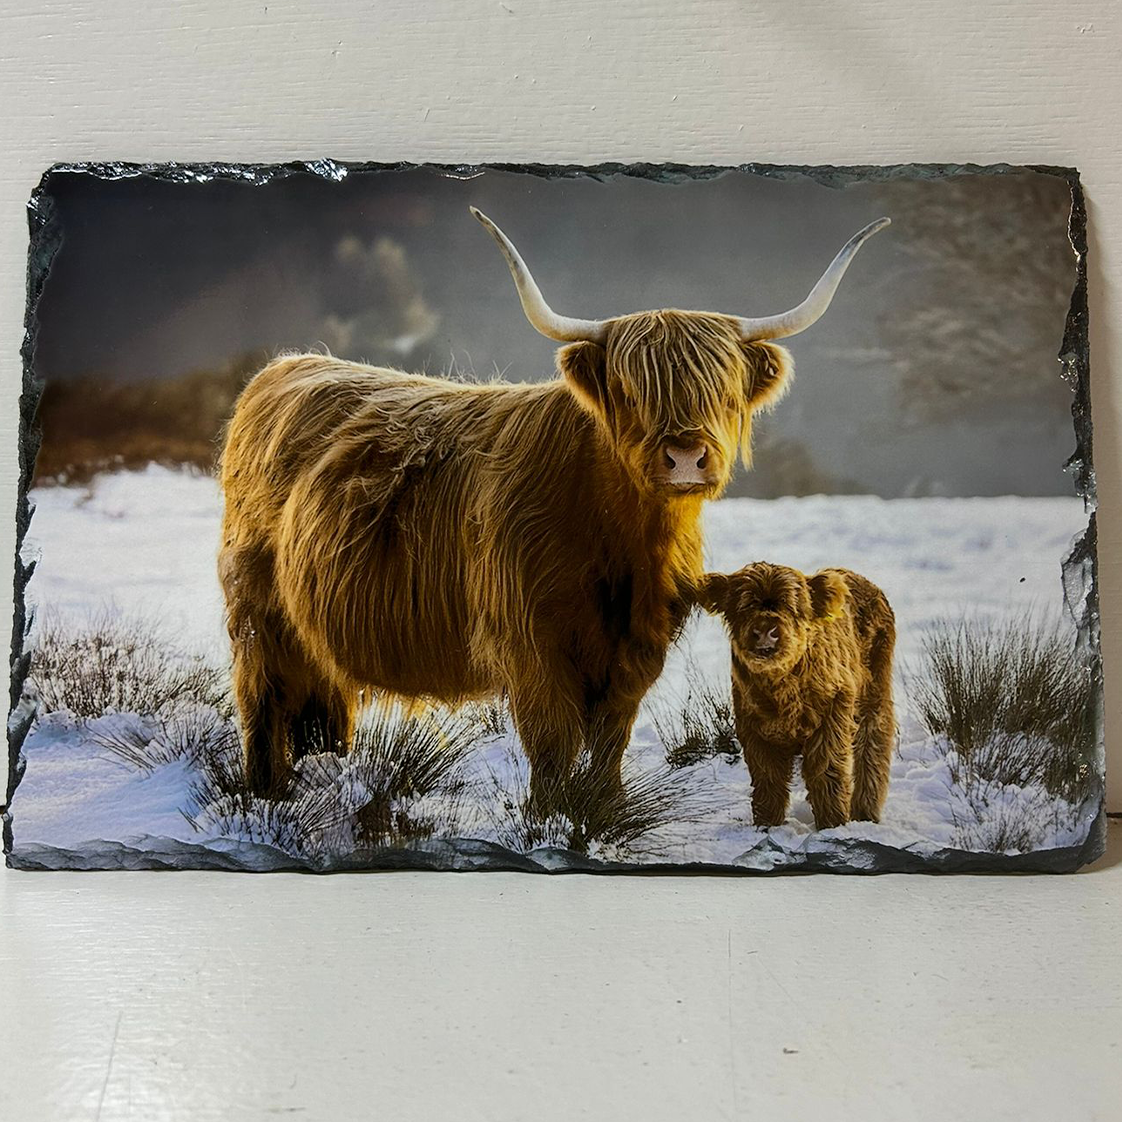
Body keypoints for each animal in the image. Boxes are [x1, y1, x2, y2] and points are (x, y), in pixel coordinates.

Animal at [218, 208, 889, 805]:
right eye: (629, 390)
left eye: (722, 388)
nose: (685, 457)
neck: (621, 542)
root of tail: (285, 367)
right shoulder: (531, 645)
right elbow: (553, 746)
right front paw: (549, 821)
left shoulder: (638, 648)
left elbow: (610, 743)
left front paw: (603, 811)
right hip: (256, 614)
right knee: (263, 704)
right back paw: (266, 795)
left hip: (314, 632)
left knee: (323, 709)